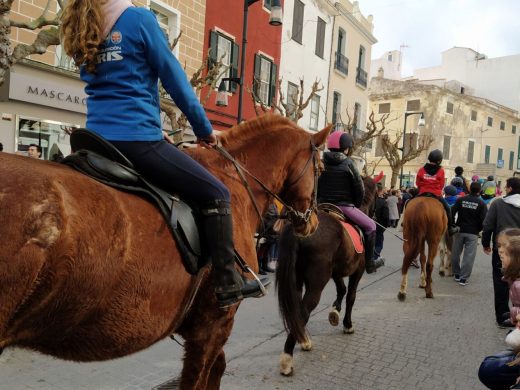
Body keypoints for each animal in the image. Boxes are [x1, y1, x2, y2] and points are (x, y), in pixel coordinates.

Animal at [274, 177, 376, 374]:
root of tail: (300, 229)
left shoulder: (336, 272)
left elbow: (341, 290)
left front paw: (335, 312)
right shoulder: (357, 271)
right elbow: (351, 296)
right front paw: (347, 324)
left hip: (297, 281)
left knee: (297, 311)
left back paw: (303, 340)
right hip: (316, 283)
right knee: (304, 311)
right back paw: (287, 358)